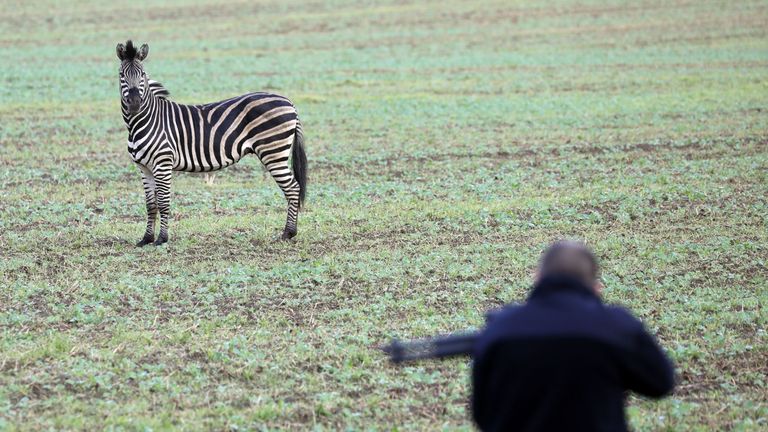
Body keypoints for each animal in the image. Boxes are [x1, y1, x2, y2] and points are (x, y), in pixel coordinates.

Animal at [115, 42, 308, 248]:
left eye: (142, 74)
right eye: (121, 75)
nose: (135, 104)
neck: (144, 121)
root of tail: (288, 102)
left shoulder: (163, 163)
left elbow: (164, 202)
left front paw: (161, 239)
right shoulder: (144, 167)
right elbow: (151, 205)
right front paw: (146, 238)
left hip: (273, 151)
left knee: (293, 188)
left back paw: (288, 233)